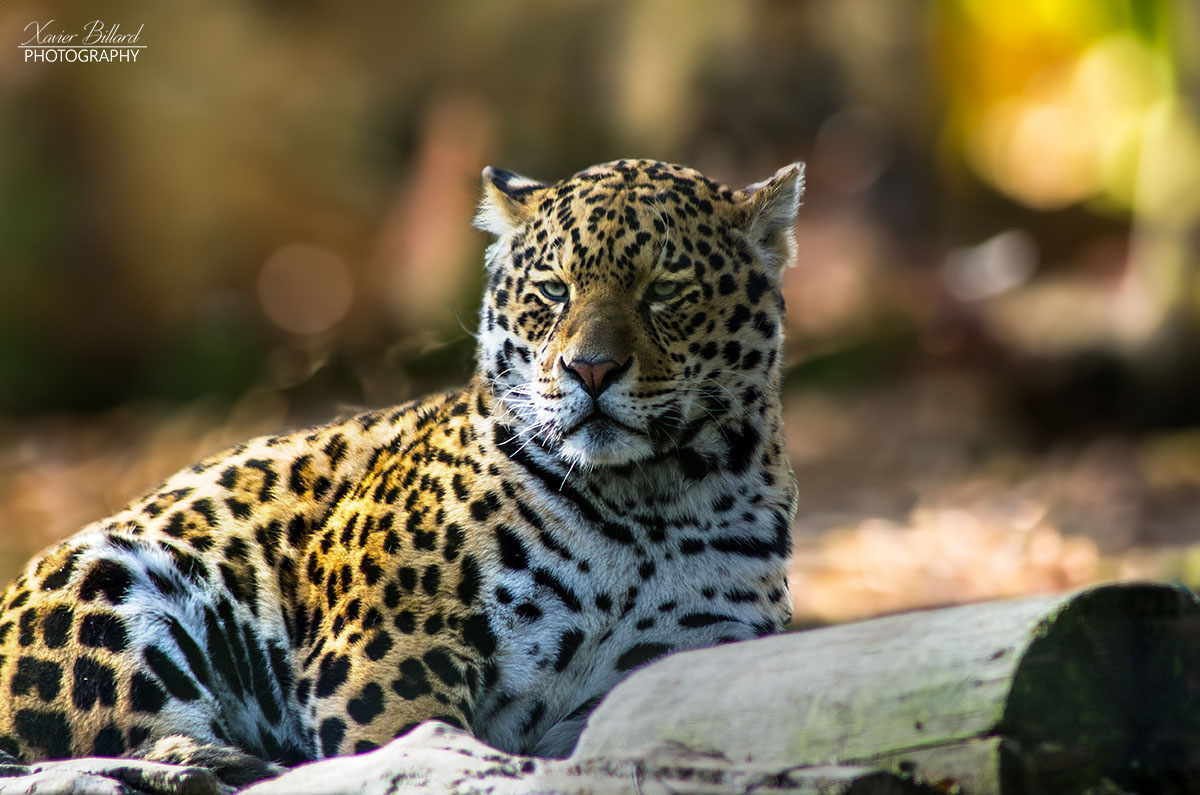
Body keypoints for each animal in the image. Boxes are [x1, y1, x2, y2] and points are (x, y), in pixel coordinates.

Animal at [0, 158, 804, 783]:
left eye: (666, 291)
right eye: (554, 290)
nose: (592, 370)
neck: (649, 505)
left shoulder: (691, 661)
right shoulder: (390, 655)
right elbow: (410, 743)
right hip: (107, 574)